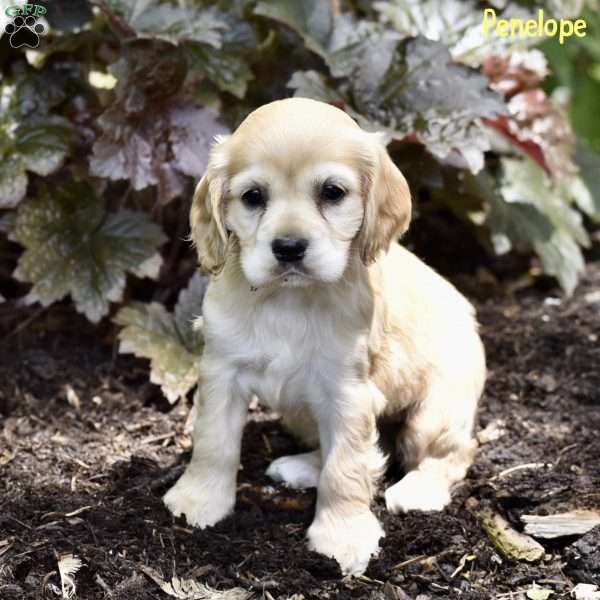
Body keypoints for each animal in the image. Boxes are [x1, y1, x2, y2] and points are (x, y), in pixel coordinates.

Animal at [165, 96, 488, 576]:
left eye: (332, 193)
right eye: (253, 197)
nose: (289, 247)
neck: (288, 300)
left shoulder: (348, 392)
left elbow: (346, 466)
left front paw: (342, 536)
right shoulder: (222, 371)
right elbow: (213, 441)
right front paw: (199, 499)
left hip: (435, 411)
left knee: (448, 451)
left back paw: (418, 491)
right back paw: (300, 468)